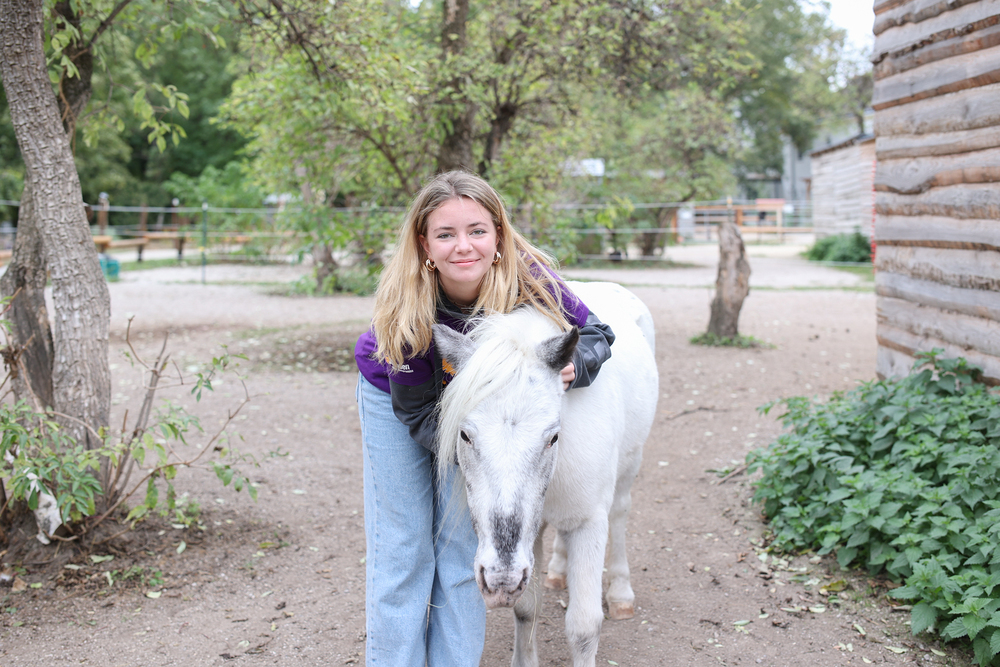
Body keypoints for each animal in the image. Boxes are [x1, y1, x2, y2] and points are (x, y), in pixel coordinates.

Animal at [433, 281, 658, 667]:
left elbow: (584, 626)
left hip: (631, 464)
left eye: (553, 436)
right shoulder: (530, 536)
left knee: (620, 514)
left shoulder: (589, 523)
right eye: (464, 435)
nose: (501, 579)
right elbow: (526, 610)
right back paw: (557, 569)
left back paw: (620, 593)